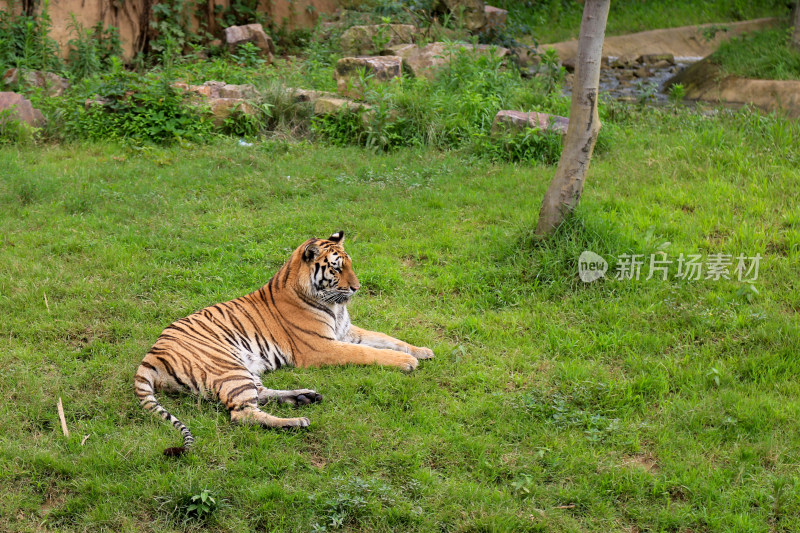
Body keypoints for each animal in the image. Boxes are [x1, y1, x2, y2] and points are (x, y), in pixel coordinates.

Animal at [136, 231, 438, 456]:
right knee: (242, 414)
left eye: (350, 264)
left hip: (242, 368)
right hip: (227, 366)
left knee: (259, 394)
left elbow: (387, 339)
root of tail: (150, 355)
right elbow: (366, 352)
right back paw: (297, 422)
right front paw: (408, 362)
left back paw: (305, 397)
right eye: (337, 268)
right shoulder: (322, 347)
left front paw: (422, 351)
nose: (357, 287)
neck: (333, 305)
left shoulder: (346, 332)